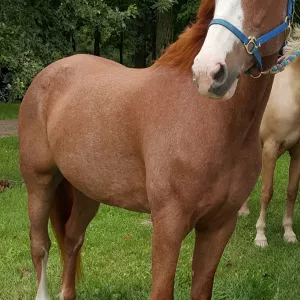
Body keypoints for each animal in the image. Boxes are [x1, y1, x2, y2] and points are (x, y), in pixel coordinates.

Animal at [239, 24, 300, 247]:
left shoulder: (297, 152)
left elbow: (292, 191)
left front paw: (289, 232)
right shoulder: (271, 149)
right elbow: (267, 191)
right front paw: (261, 235)